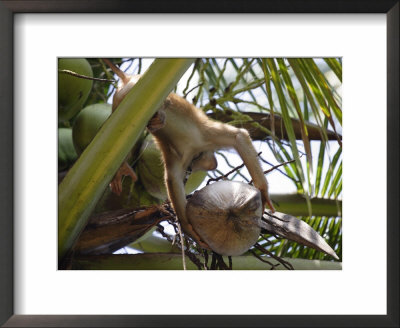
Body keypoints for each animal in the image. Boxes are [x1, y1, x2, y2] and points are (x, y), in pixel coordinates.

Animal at [102, 59, 276, 249]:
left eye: (200, 163)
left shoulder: (193, 148)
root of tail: (129, 79)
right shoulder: (200, 140)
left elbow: (239, 137)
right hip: (135, 92)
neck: (192, 149)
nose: (211, 163)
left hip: (122, 99)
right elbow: (173, 181)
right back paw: (159, 116)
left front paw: (262, 192)